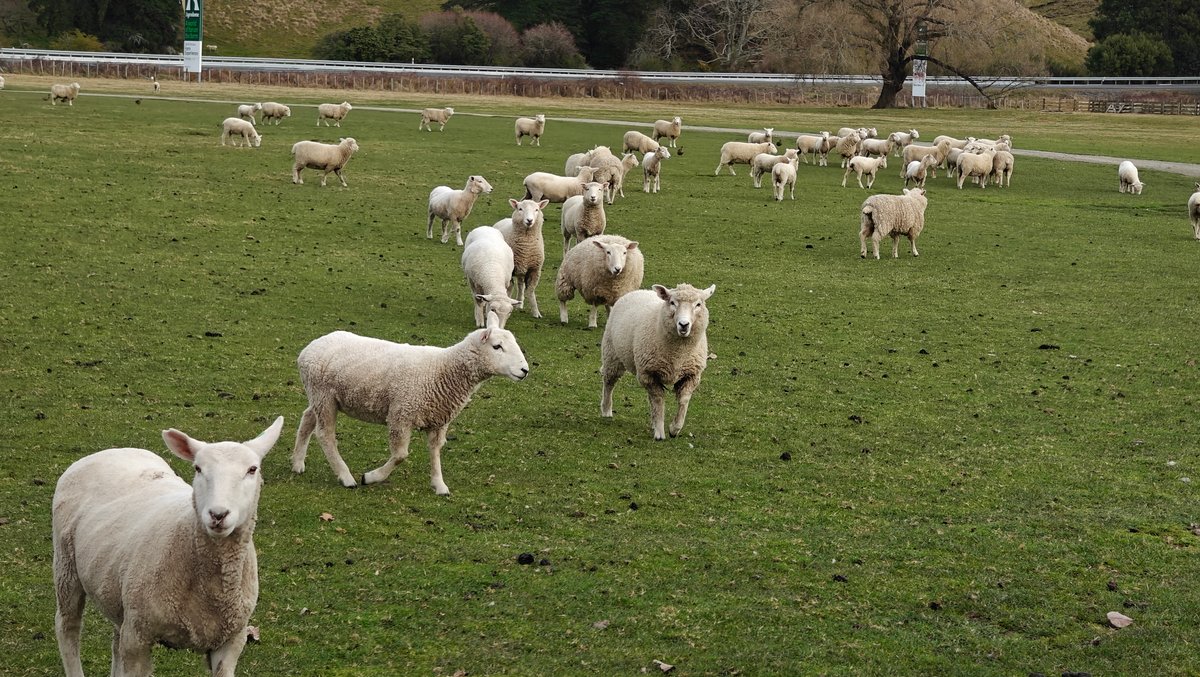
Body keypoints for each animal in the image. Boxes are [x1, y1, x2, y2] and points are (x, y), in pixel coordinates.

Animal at [53, 417, 285, 677]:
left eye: (252, 469)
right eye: (198, 468)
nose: (218, 514)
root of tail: (110, 452)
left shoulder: (231, 641)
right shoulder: (138, 636)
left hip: (118, 594)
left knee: (115, 639)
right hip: (66, 567)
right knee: (67, 627)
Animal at [291, 322, 529, 495]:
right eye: (497, 347)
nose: (525, 370)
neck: (442, 370)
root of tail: (309, 348)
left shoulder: (439, 421)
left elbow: (435, 451)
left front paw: (439, 485)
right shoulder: (400, 415)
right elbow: (400, 455)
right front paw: (372, 477)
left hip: (321, 397)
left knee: (307, 418)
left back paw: (297, 462)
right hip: (323, 396)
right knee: (325, 435)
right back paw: (346, 476)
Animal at [600, 283, 715, 440]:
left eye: (698, 304)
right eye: (672, 302)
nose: (683, 324)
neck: (678, 354)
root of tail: (639, 291)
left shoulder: (691, 375)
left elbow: (683, 400)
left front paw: (674, 428)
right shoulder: (648, 374)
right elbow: (658, 400)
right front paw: (660, 432)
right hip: (612, 354)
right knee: (609, 382)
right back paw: (606, 410)